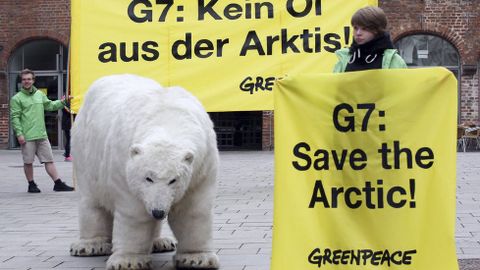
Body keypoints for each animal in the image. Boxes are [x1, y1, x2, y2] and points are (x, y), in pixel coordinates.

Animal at [70, 74, 220, 270]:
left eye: (174, 180)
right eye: (148, 178)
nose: (158, 212)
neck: (167, 118)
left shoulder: (202, 166)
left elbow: (192, 210)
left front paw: (197, 258)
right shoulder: (124, 166)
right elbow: (135, 212)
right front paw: (128, 261)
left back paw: (161, 242)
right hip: (84, 151)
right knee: (92, 200)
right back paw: (91, 245)